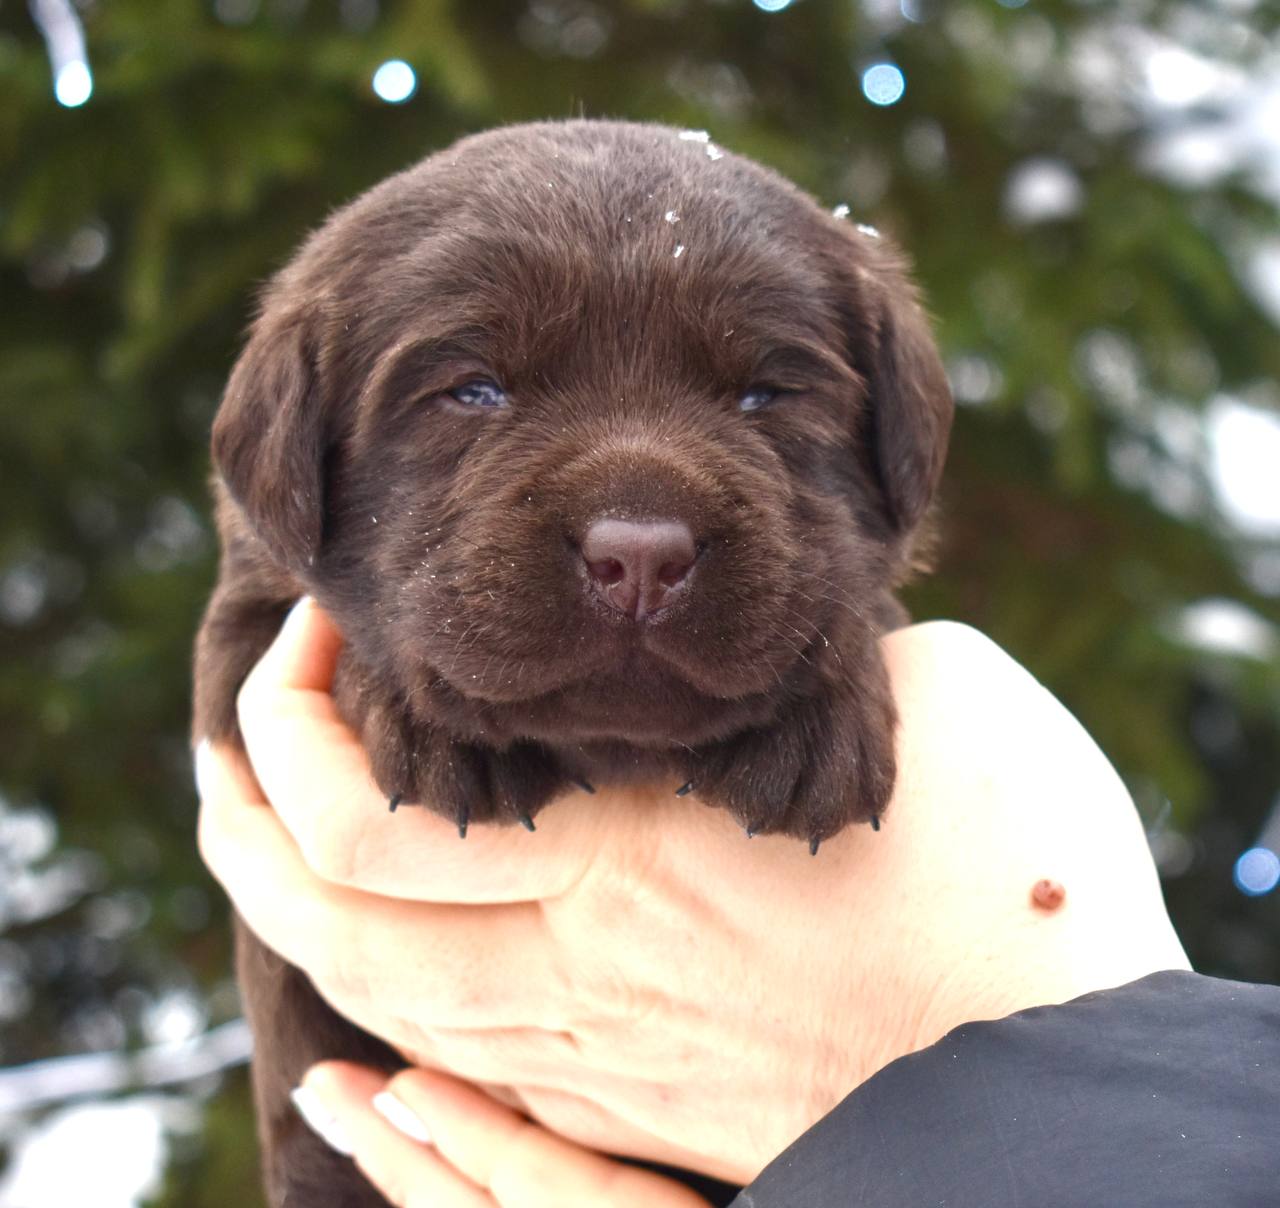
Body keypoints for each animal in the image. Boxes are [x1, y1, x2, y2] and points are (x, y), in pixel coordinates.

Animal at [194, 119, 953, 1206]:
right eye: (472, 389)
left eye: (764, 393)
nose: (639, 556)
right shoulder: (240, 638)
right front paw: (438, 731)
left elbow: (847, 600)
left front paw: (815, 726)